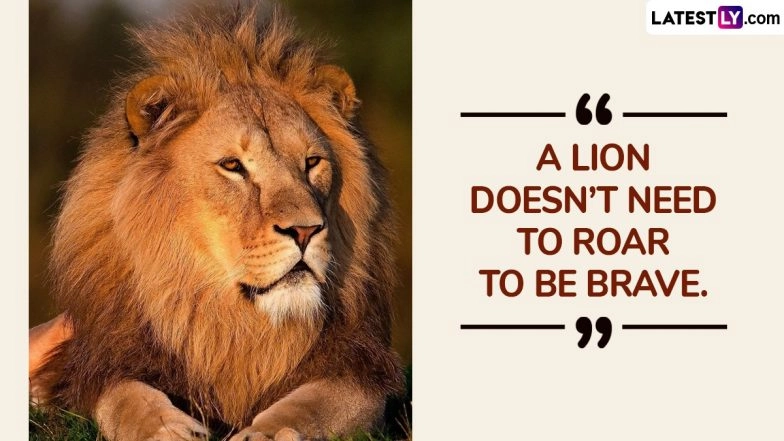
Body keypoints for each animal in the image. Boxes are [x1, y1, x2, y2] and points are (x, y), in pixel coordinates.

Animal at [31, 3, 402, 440]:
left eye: (312, 162)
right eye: (232, 166)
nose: (305, 230)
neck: (228, 320)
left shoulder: (359, 370)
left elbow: (313, 405)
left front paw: (263, 433)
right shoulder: (102, 364)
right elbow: (126, 398)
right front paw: (167, 429)